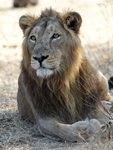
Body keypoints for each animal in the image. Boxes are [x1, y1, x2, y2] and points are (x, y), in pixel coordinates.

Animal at [17, 8, 113, 142]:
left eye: (55, 36)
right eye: (33, 38)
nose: (39, 58)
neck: (60, 79)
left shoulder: (91, 105)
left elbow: (102, 114)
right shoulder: (43, 116)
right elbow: (62, 130)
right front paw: (86, 128)